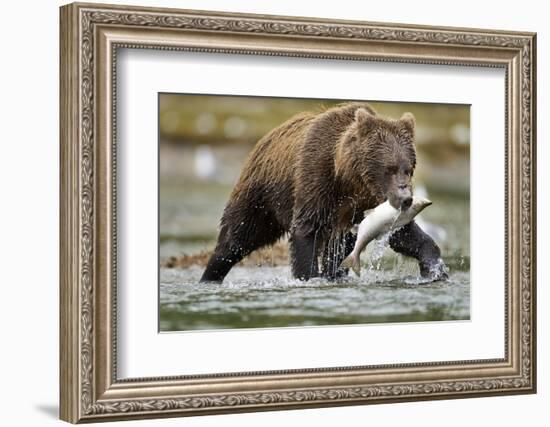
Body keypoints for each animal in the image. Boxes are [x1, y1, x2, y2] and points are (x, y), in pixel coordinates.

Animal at [203, 102, 448, 284]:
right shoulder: (316, 180)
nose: (406, 198)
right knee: (236, 237)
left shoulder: (368, 204)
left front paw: (435, 269)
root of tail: (264, 139)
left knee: (341, 251)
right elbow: (306, 231)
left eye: (408, 168)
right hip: (261, 196)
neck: (349, 180)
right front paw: (310, 276)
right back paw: (210, 276)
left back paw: (336, 275)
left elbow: (403, 233)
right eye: (389, 168)